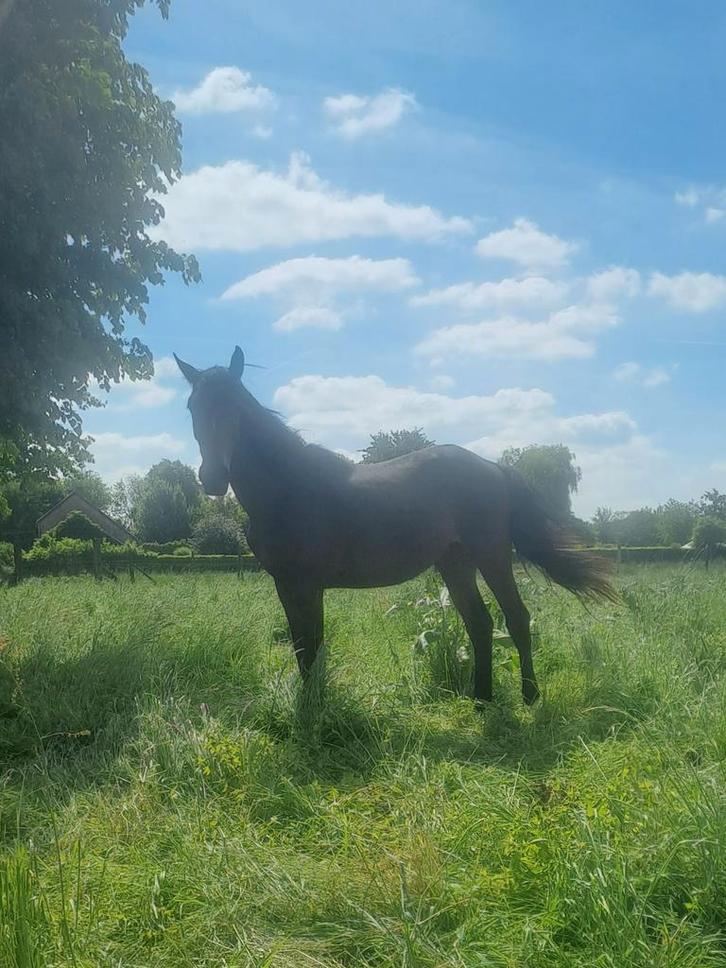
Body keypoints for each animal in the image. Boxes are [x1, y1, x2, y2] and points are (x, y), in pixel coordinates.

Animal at [174, 346, 616, 706]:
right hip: (456, 563)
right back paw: (482, 700)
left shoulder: (306, 584)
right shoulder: (287, 584)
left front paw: (315, 711)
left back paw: (529, 696)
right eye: (193, 407)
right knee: (480, 624)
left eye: (236, 407)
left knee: (517, 618)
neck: (288, 489)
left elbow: (312, 645)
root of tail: (493, 468)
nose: (212, 479)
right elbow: (302, 646)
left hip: (492, 555)